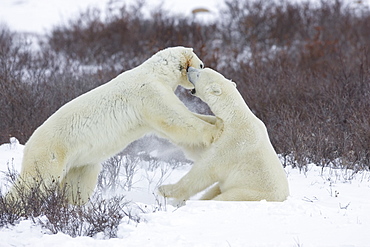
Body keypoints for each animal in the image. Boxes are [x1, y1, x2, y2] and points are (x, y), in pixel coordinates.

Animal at [8, 46, 221, 205]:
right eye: (201, 64)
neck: (157, 72)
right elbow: (174, 118)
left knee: (78, 183)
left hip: (80, 161)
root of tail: (29, 142)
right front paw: (214, 131)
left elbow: (171, 127)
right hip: (51, 151)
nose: (202, 67)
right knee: (37, 181)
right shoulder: (148, 92)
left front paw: (214, 120)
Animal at [159, 67, 290, 201]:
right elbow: (198, 144)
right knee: (214, 190)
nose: (189, 68)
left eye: (199, 74)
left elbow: (206, 168)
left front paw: (165, 189)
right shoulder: (220, 128)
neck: (233, 116)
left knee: (224, 196)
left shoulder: (234, 143)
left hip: (248, 192)